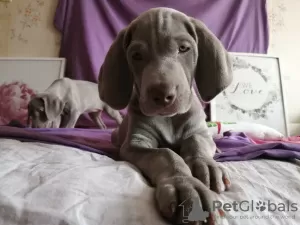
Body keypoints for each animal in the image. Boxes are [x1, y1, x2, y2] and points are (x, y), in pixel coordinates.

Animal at [99, 7, 233, 225]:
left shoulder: (199, 132)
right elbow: (165, 154)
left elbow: (197, 142)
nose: (162, 95)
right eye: (136, 55)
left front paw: (206, 165)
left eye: (184, 48)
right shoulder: (135, 144)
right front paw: (186, 186)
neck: (169, 118)